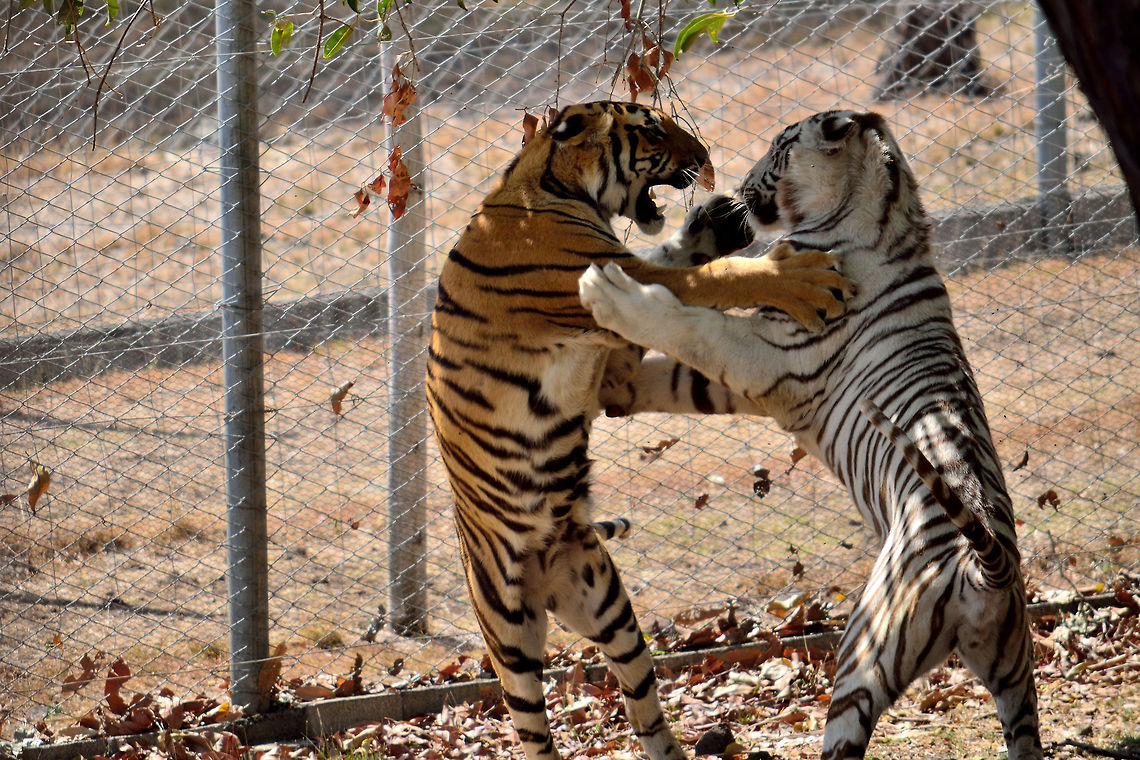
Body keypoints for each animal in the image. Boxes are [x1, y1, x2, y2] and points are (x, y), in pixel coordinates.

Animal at [424, 101, 852, 760]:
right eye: (652, 129)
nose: (703, 156)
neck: (554, 186)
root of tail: (549, 574)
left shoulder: (617, 337)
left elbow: (677, 265)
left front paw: (715, 224)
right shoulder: (611, 286)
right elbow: (724, 276)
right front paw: (797, 277)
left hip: (609, 609)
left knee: (642, 705)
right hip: (510, 641)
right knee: (533, 731)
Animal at [579, 110, 1043, 760]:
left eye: (779, 148)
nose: (741, 185)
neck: (881, 211)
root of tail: (986, 569)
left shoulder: (765, 353)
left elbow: (686, 323)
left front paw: (609, 292)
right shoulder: (747, 372)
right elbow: (663, 374)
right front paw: (605, 386)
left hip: (864, 652)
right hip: (1015, 674)